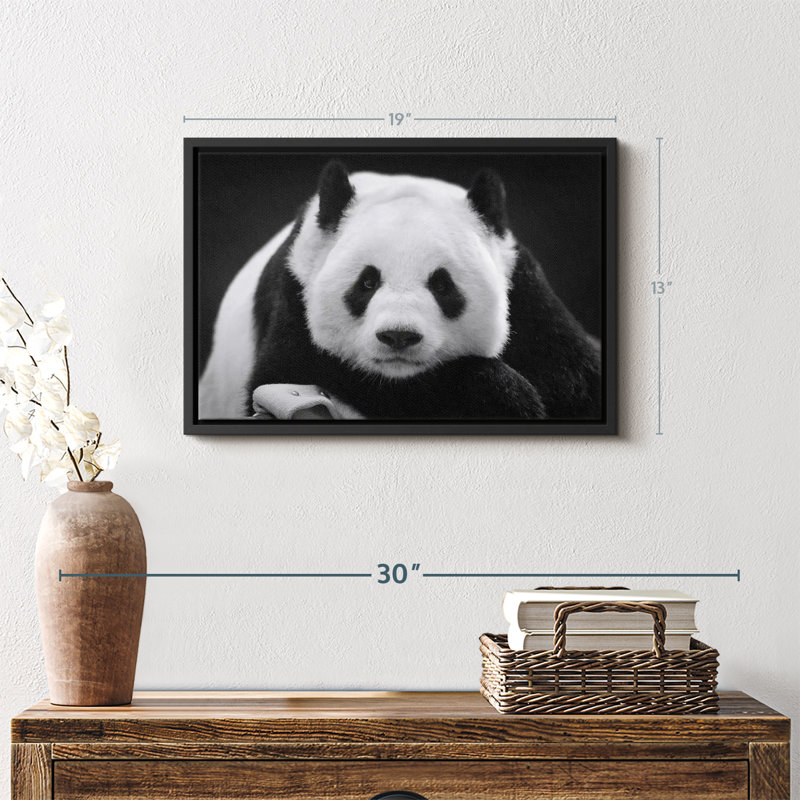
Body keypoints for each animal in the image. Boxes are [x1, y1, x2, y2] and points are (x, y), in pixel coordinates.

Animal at [199, 161, 600, 421]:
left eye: (442, 284)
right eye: (367, 282)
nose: (398, 336)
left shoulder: (524, 289)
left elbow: (577, 380)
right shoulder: (296, 290)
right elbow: (289, 371)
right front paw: (503, 396)